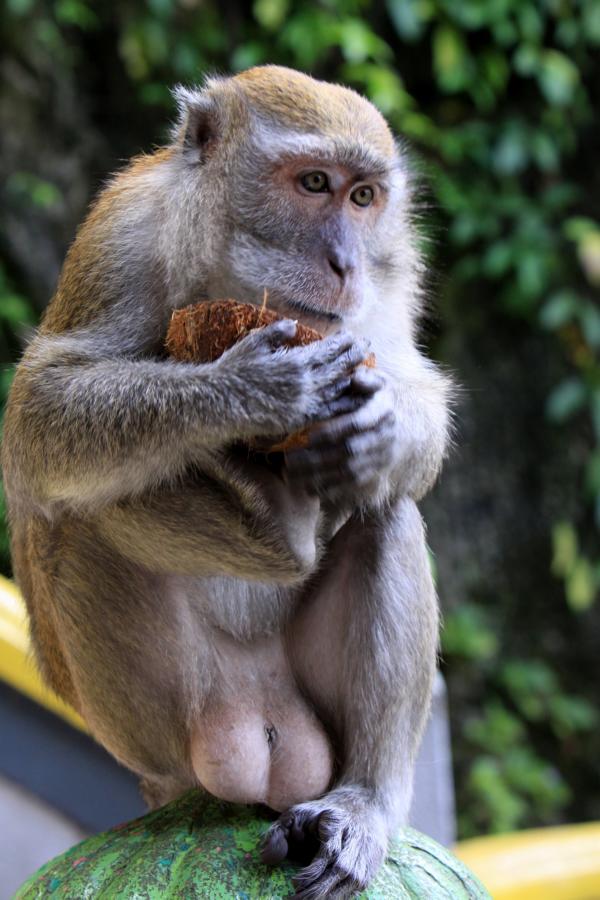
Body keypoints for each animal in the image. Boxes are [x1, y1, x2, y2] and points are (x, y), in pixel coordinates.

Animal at [1, 67, 450, 896]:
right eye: (314, 183)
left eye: (363, 197)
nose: (345, 264)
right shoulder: (123, 234)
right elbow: (40, 414)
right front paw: (252, 388)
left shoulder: (394, 262)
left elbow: (412, 381)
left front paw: (382, 427)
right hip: (153, 719)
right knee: (77, 512)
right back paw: (282, 527)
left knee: (384, 509)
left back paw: (364, 803)